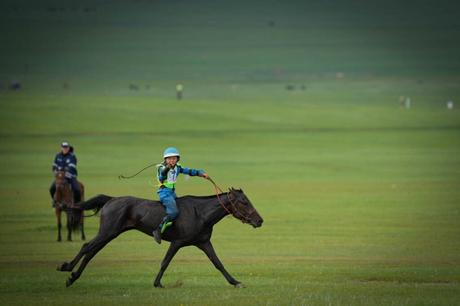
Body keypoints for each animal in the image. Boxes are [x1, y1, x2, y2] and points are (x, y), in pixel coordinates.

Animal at [58, 188, 262, 288]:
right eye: (244, 202)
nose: (259, 220)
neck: (201, 213)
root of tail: (111, 199)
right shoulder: (178, 242)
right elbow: (165, 262)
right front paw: (157, 283)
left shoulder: (203, 242)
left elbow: (218, 263)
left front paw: (235, 282)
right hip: (108, 231)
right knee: (87, 247)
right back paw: (67, 268)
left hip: (110, 233)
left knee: (91, 251)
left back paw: (73, 276)